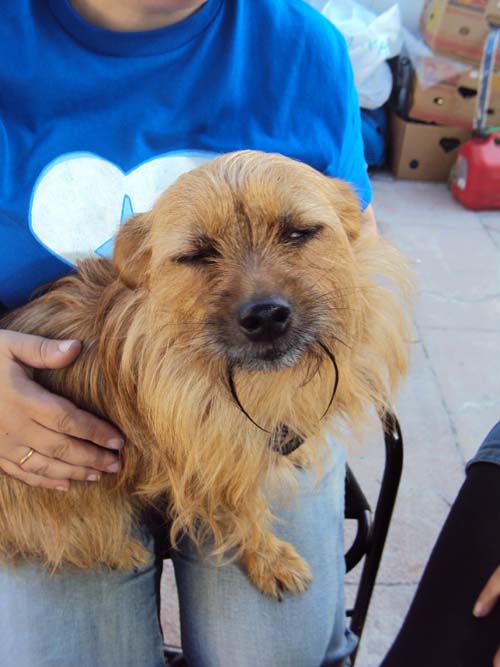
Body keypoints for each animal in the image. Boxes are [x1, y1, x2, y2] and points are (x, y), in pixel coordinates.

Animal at [0, 151, 412, 600]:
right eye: (197, 254)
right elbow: (244, 511)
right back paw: (119, 550)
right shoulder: (211, 468)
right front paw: (269, 557)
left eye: (298, 232)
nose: (266, 316)